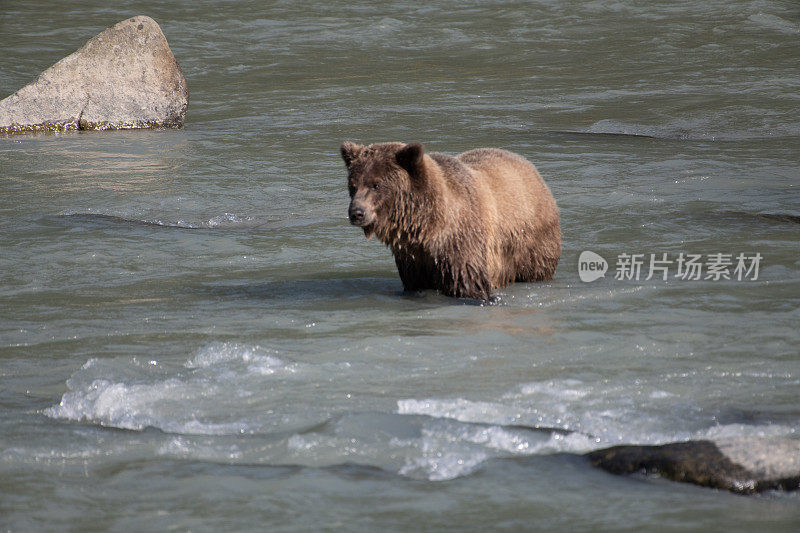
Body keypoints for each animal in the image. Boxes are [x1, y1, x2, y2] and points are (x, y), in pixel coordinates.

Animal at [340, 141, 560, 300]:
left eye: (376, 184)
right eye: (353, 184)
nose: (356, 212)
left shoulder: (461, 244)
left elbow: (468, 283)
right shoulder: (413, 258)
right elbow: (414, 283)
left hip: (532, 244)